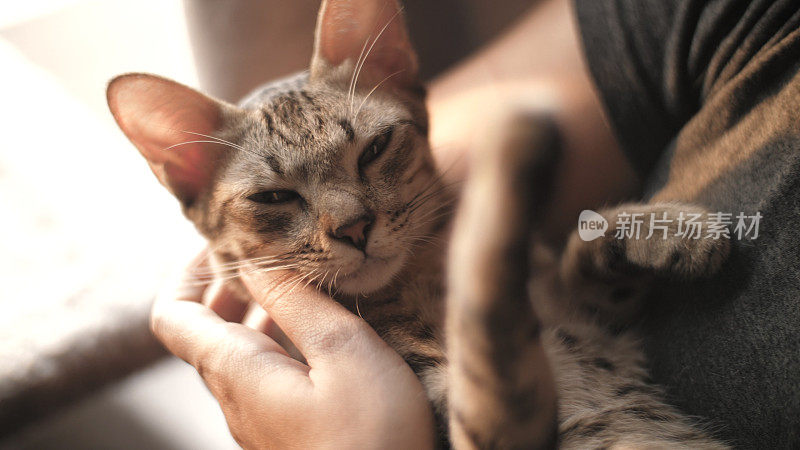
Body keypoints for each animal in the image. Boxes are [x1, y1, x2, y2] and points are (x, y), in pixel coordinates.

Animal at [106, 0, 732, 446]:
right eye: (273, 196)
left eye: (376, 148)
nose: (354, 229)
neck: (419, 283)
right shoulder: (489, 420)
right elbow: (487, 309)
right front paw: (512, 153)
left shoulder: (595, 317)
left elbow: (578, 259)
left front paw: (667, 231)